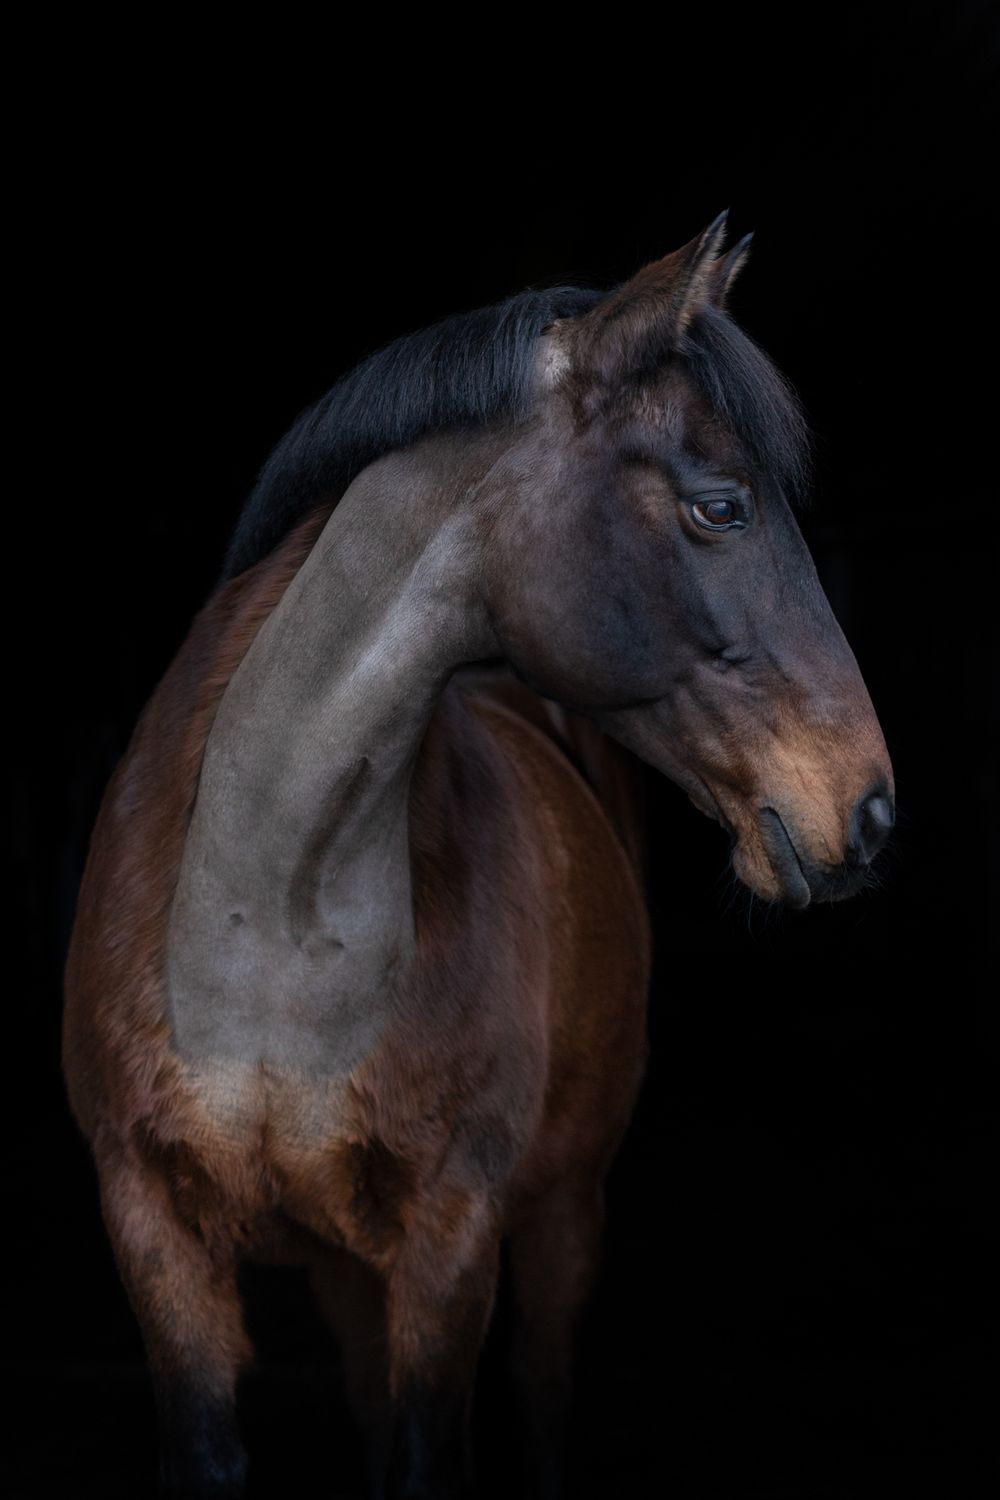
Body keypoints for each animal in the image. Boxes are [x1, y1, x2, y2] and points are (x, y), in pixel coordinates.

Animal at [62, 209, 895, 1498]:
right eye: (720, 507)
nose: (865, 810)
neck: (272, 921)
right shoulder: (154, 1231)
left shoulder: (451, 1244)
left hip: (560, 1220)